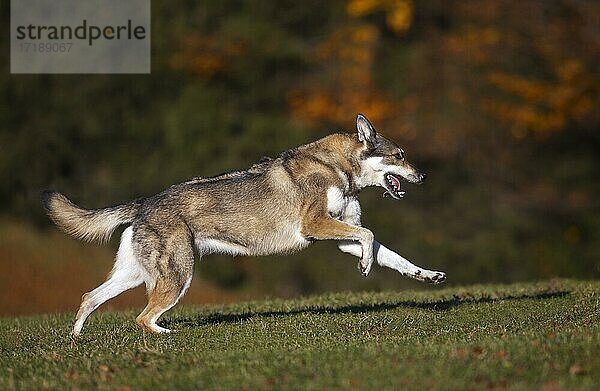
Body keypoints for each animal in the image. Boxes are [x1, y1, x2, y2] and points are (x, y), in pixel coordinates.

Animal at [42, 114, 446, 336]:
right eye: (400, 156)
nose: (424, 177)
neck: (338, 170)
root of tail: (144, 203)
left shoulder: (340, 235)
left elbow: (390, 254)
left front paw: (428, 276)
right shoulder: (314, 225)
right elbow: (368, 235)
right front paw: (365, 266)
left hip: (134, 276)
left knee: (89, 297)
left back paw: (76, 341)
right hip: (177, 279)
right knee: (142, 318)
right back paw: (167, 336)